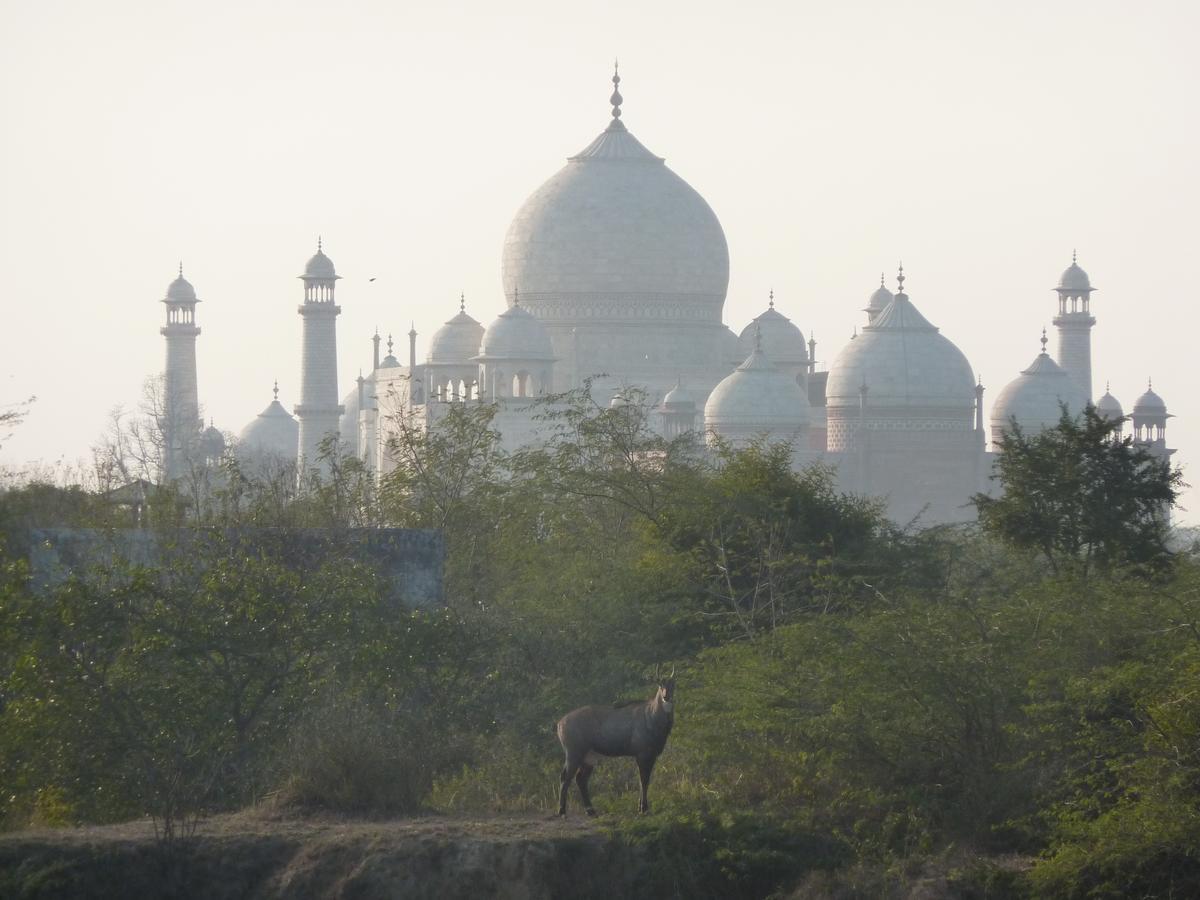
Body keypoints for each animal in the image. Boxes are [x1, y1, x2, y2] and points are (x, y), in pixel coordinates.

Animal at [554, 676, 676, 816]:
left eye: (673, 684)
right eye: (660, 685)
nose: (666, 696)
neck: (652, 716)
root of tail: (559, 723)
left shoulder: (652, 755)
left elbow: (645, 780)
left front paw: (642, 807)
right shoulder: (642, 754)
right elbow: (643, 780)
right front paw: (643, 808)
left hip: (589, 757)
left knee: (581, 779)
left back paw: (591, 811)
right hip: (574, 753)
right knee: (565, 777)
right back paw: (562, 810)